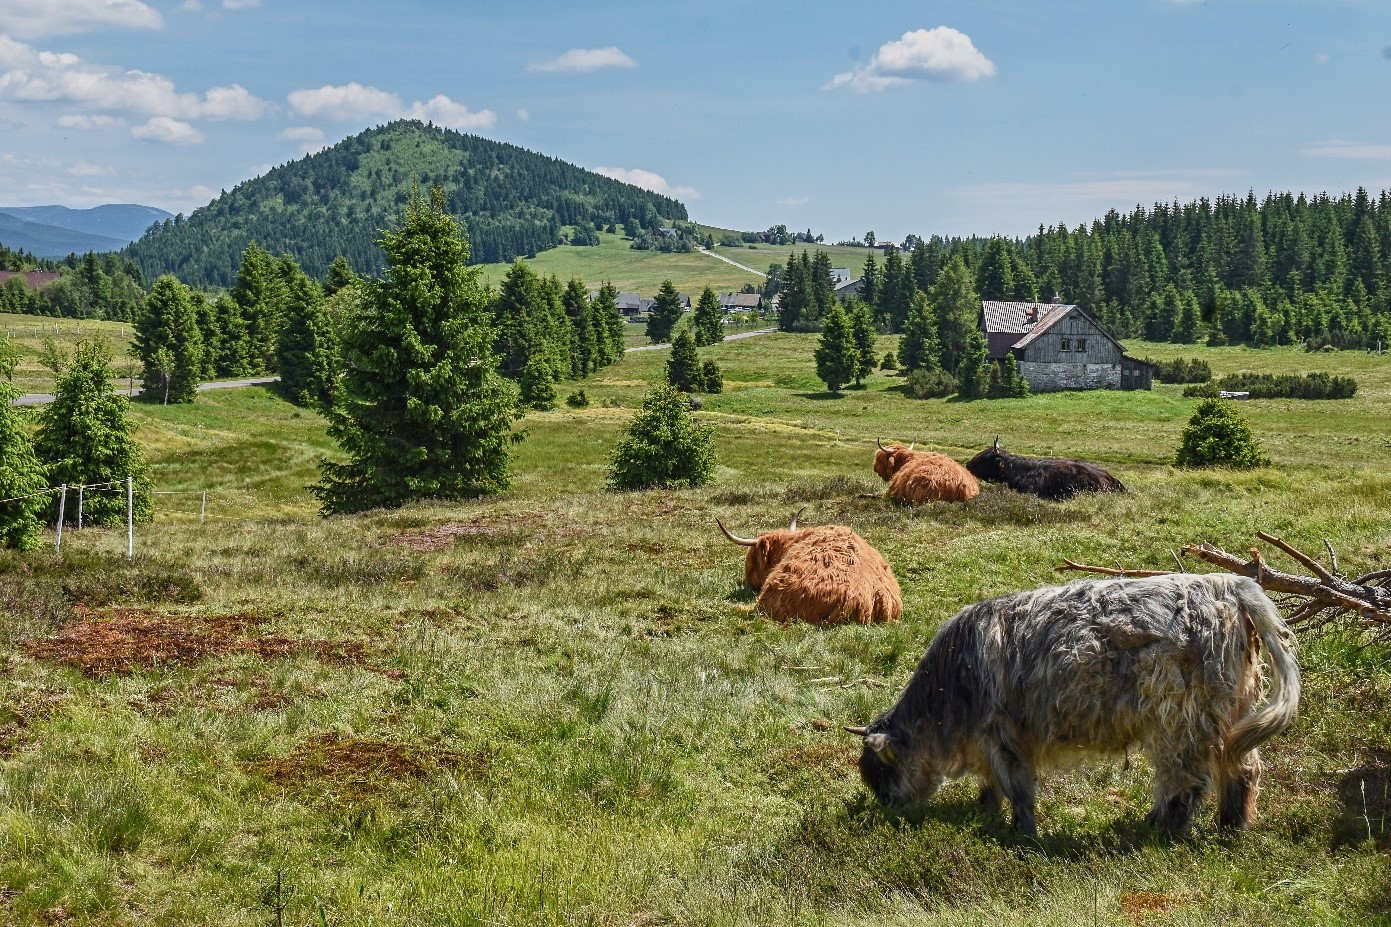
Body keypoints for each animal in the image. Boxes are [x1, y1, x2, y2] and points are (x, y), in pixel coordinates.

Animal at [845, 573, 1301, 835]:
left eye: (882, 773)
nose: (888, 810)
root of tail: (1229, 585)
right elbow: (991, 786)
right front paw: (985, 813)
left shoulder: (1002, 735)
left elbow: (1017, 788)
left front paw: (1021, 833)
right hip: (1235, 707)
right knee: (1242, 767)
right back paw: (1231, 827)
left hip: (1181, 719)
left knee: (1186, 779)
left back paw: (1158, 828)